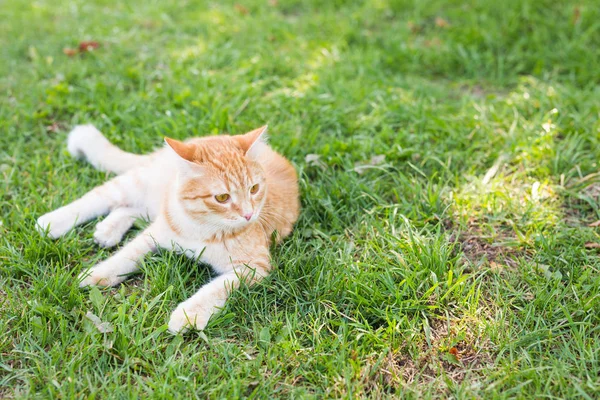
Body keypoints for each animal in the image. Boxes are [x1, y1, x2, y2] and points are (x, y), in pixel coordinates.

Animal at [37, 123, 300, 332]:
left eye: (254, 189)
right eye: (222, 197)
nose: (248, 214)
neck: (200, 226)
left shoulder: (253, 267)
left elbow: (217, 288)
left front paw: (189, 313)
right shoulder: (157, 232)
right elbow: (127, 254)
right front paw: (100, 273)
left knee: (129, 208)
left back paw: (108, 229)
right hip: (136, 185)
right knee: (99, 197)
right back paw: (54, 221)